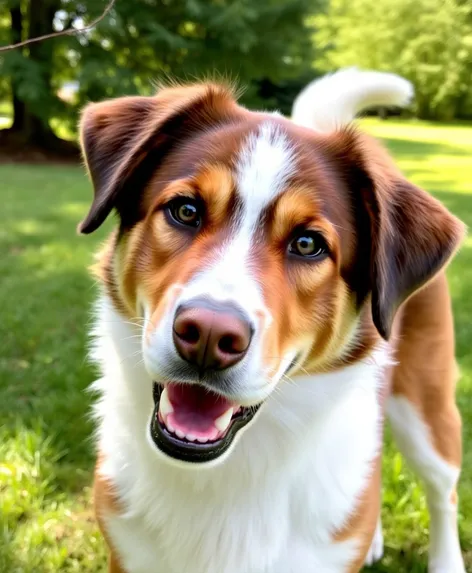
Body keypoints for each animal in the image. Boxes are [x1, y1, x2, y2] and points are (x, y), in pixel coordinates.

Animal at [79, 69, 466, 568]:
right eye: (185, 210)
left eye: (307, 244)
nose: (208, 335)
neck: (227, 475)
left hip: (427, 407)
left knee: (443, 491)